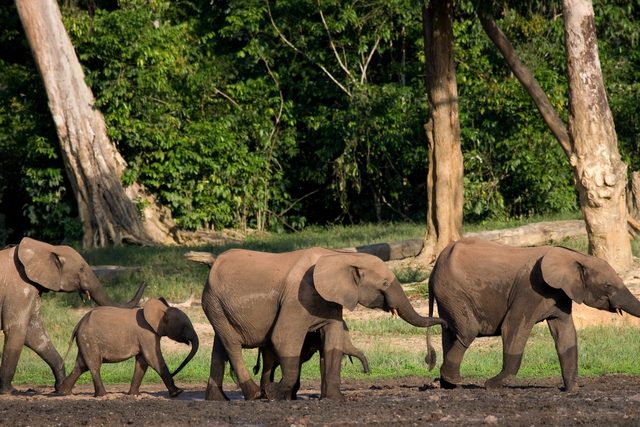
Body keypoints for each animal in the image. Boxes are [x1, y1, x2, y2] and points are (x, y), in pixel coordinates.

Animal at [0, 237, 146, 394]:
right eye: (81, 269)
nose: (144, 280)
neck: (45, 247)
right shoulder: (20, 289)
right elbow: (17, 329)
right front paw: (9, 391)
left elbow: (34, 334)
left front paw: (60, 389)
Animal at [59, 297, 199, 397]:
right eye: (185, 327)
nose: (175, 372)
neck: (160, 310)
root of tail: (78, 324)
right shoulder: (146, 334)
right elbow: (153, 359)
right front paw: (178, 393)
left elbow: (142, 363)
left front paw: (133, 395)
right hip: (89, 339)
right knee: (94, 365)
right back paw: (102, 395)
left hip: (85, 341)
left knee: (81, 365)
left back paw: (63, 392)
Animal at [202, 247, 446, 401]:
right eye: (385, 283)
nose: (430, 359)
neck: (340, 256)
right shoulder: (297, 298)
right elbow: (283, 338)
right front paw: (276, 395)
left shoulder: (330, 301)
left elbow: (333, 342)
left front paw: (336, 399)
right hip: (214, 302)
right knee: (232, 345)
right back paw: (253, 395)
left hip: (218, 306)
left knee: (220, 346)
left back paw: (219, 400)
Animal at [425, 237, 640, 392]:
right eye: (608, 285)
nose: (488, 384)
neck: (573, 257)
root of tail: (435, 267)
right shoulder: (530, 289)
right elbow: (513, 327)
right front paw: (492, 385)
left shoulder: (559, 294)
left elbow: (566, 334)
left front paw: (571, 390)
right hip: (452, 291)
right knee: (468, 330)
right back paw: (453, 381)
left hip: (448, 296)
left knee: (450, 331)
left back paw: (448, 385)